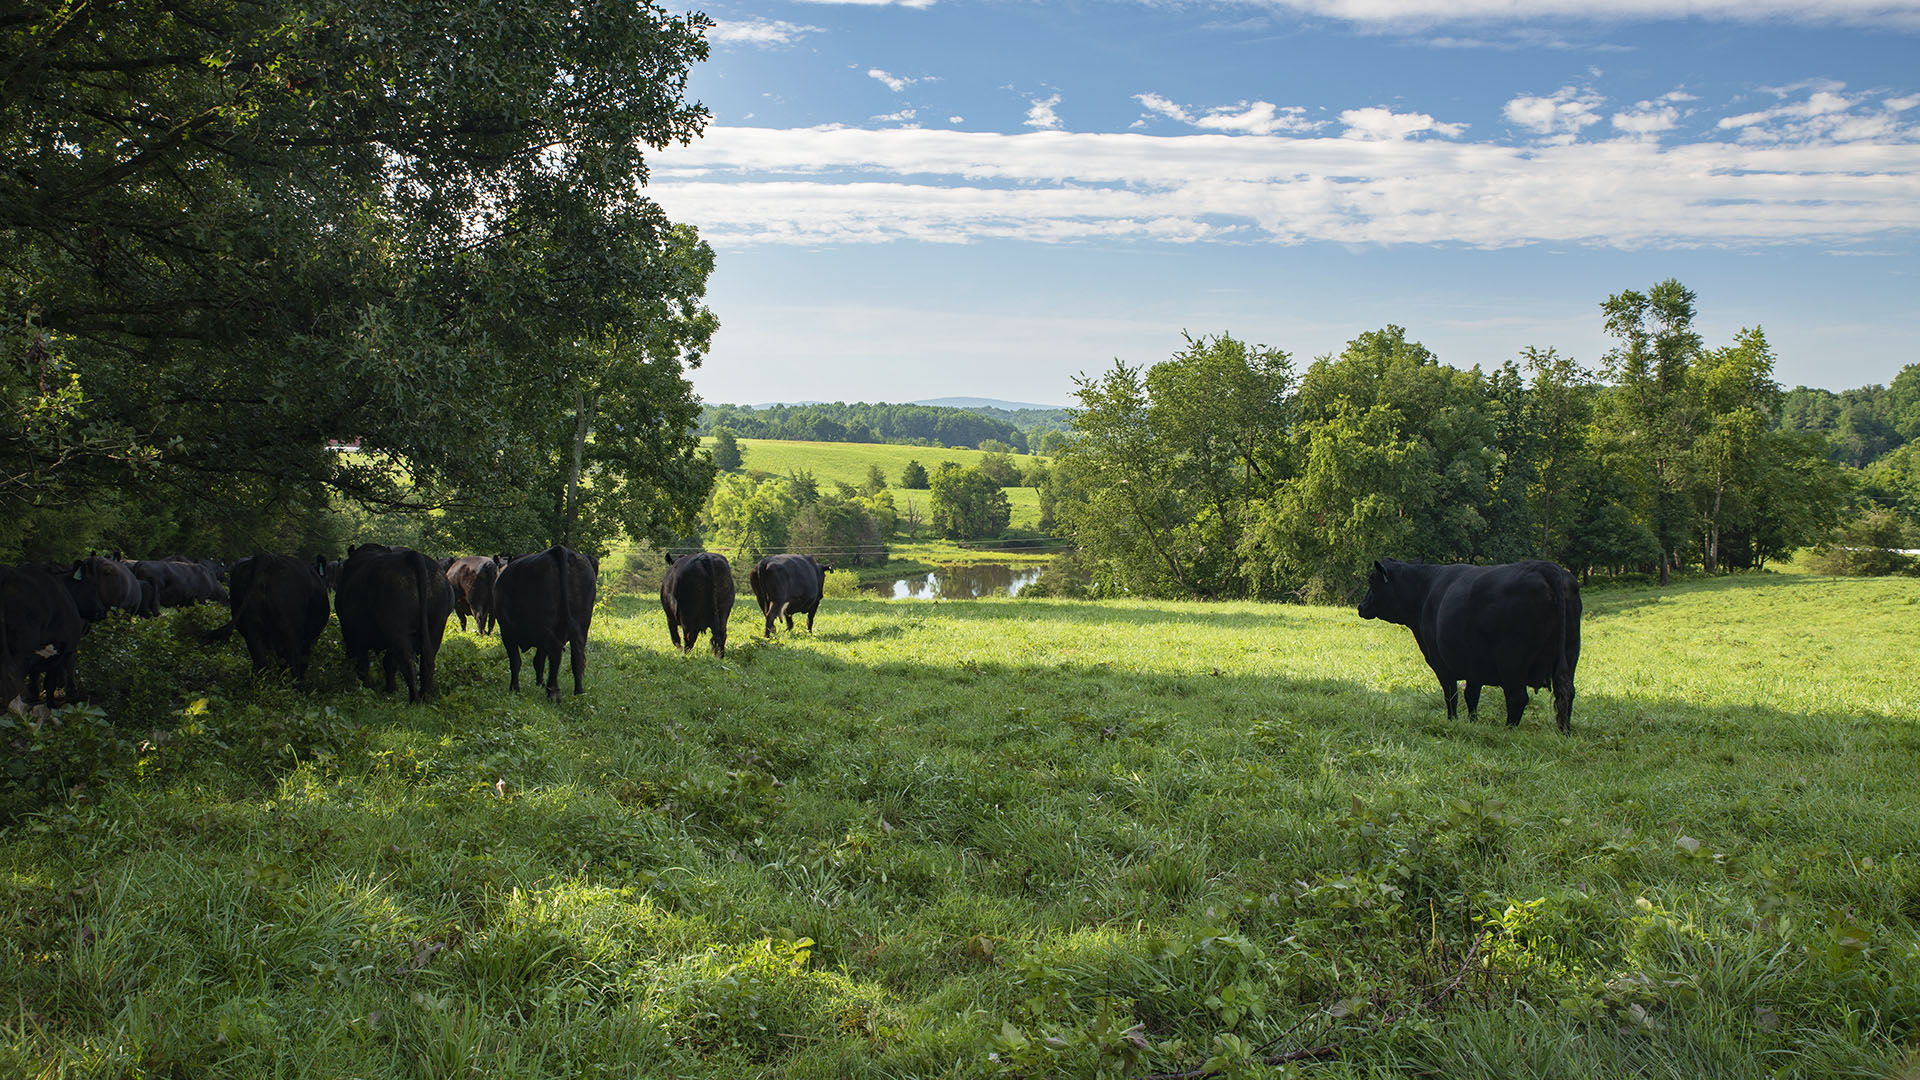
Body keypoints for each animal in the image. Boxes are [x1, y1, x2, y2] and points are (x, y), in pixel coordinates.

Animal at [332, 541, 451, 703]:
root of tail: (411, 556)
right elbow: (389, 663)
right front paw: (390, 690)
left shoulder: (356, 634)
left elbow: (364, 665)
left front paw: (366, 688)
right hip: (435, 629)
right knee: (427, 663)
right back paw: (425, 697)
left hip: (398, 631)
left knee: (407, 664)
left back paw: (415, 701)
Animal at [491, 545, 595, 699]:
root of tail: (558, 550)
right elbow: (539, 660)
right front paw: (539, 682)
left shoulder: (507, 631)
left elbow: (515, 661)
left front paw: (515, 688)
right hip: (581, 624)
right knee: (577, 655)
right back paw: (578, 691)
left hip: (540, 626)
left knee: (555, 650)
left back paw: (553, 692)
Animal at [1359, 553, 1582, 730]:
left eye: (1371, 579)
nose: (1361, 607)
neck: (1424, 590)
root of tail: (1547, 567)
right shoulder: (1474, 666)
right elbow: (1471, 696)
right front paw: (1472, 723)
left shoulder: (1442, 665)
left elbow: (1451, 695)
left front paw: (1452, 721)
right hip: (1570, 651)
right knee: (1566, 692)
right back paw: (1564, 732)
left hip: (1513, 659)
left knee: (1517, 697)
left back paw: (1509, 730)